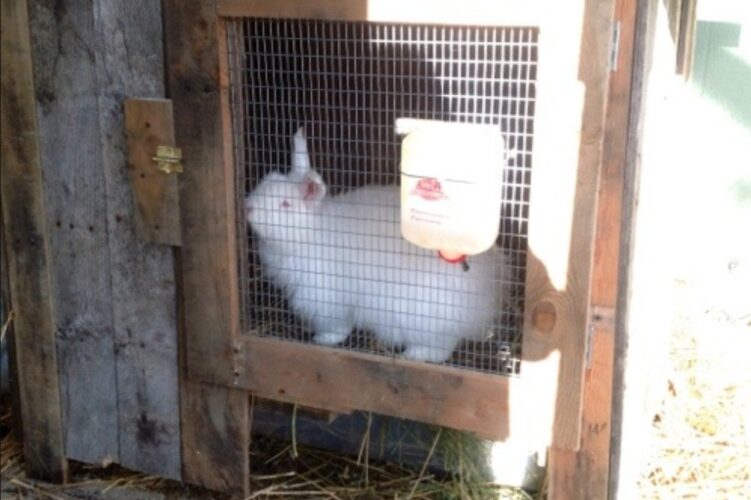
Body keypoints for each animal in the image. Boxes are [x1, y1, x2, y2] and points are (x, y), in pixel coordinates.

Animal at [245, 127, 507, 363]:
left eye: (285, 204)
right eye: (265, 182)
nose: (248, 207)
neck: (310, 234)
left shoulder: (327, 297)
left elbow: (337, 326)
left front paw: (323, 339)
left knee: (443, 343)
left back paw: (417, 354)